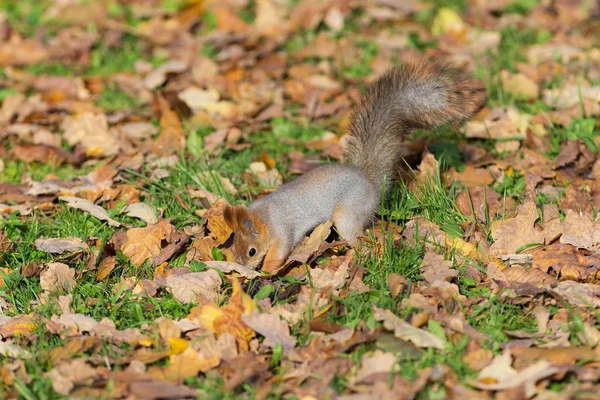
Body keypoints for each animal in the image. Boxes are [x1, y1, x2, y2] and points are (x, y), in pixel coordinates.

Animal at [223, 61, 486, 274]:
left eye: (252, 251)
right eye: (233, 245)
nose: (242, 268)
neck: (264, 217)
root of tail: (370, 183)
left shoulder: (283, 231)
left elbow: (279, 252)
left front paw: (267, 271)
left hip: (348, 214)